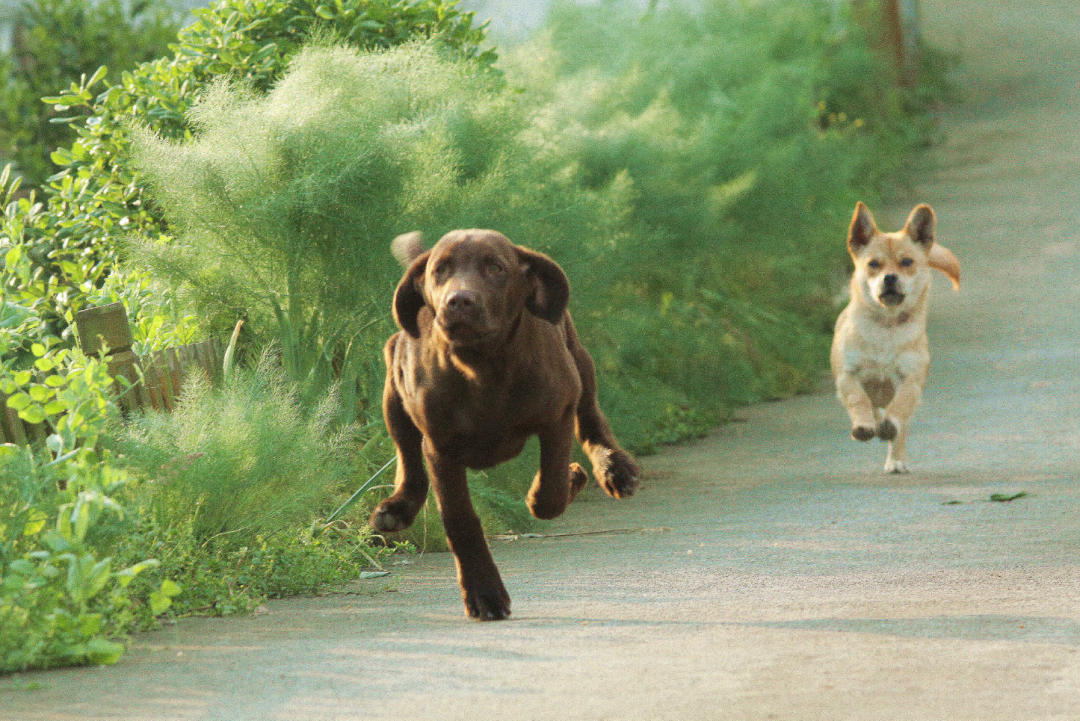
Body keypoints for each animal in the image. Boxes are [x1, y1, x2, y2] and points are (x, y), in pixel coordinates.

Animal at [371, 229, 639, 621]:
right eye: (440, 270)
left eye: (496, 267)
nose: (459, 301)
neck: (483, 366)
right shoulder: (440, 448)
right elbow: (460, 520)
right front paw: (485, 593)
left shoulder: (558, 413)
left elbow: (549, 493)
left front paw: (570, 478)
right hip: (394, 389)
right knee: (407, 457)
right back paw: (397, 508)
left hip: (578, 362)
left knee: (591, 417)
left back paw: (614, 468)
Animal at [829, 202, 959, 472]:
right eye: (873, 264)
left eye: (907, 262)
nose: (890, 278)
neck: (886, 327)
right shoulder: (847, 375)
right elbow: (858, 399)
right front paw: (863, 425)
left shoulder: (910, 379)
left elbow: (900, 405)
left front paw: (890, 429)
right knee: (874, 408)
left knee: (898, 424)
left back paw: (895, 457)